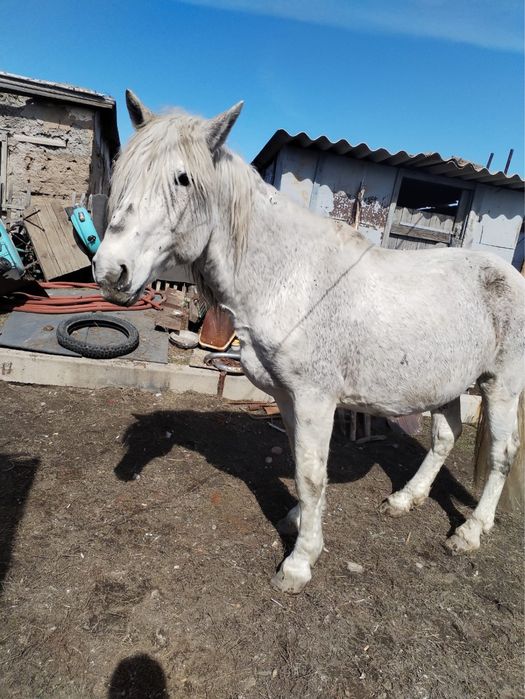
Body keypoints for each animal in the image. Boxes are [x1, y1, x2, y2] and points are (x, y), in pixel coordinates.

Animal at [93, 90, 525, 594]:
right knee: (445, 437)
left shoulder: (316, 398)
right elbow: (300, 467)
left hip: (500, 386)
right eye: (125, 171)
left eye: (182, 178)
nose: (110, 271)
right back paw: (405, 500)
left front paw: (300, 562)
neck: (288, 278)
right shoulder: (286, 396)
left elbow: (313, 473)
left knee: (501, 454)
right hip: (448, 382)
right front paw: (297, 519)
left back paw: (471, 532)